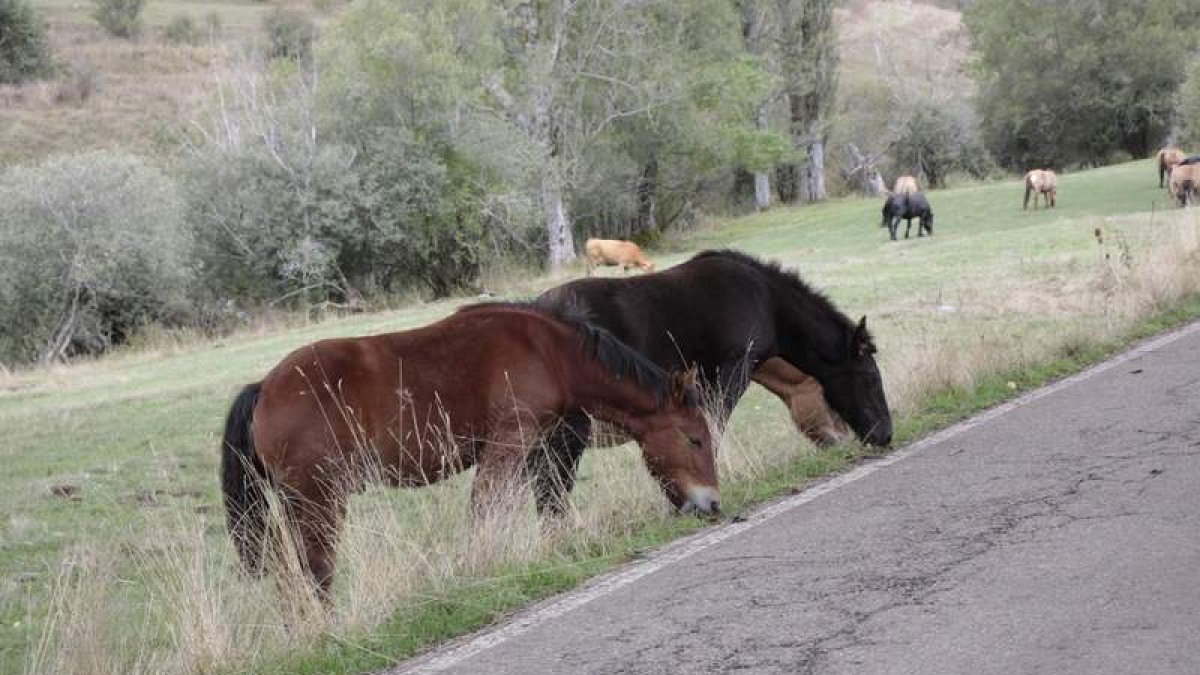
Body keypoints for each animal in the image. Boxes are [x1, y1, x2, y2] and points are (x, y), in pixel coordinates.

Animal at [220, 302, 715, 590]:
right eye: (695, 438)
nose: (711, 504)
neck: (547, 350)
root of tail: (264, 388)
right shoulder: (508, 443)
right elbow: (486, 508)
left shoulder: (534, 448)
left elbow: (541, 500)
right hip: (318, 501)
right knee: (316, 569)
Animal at [535, 248, 892, 514]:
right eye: (870, 377)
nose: (885, 433)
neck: (767, 300)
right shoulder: (732, 369)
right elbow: (712, 427)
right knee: (551, 490)